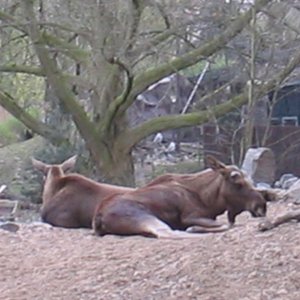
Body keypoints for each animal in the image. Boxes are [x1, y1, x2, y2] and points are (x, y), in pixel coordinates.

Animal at [94, 157, 268, 239]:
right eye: (238, 183)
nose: (262, 205)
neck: (209, 200)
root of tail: (99, 216)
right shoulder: (190, 216)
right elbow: (228, 224)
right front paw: (196, 228)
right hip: (144, 216)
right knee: (166, 233)